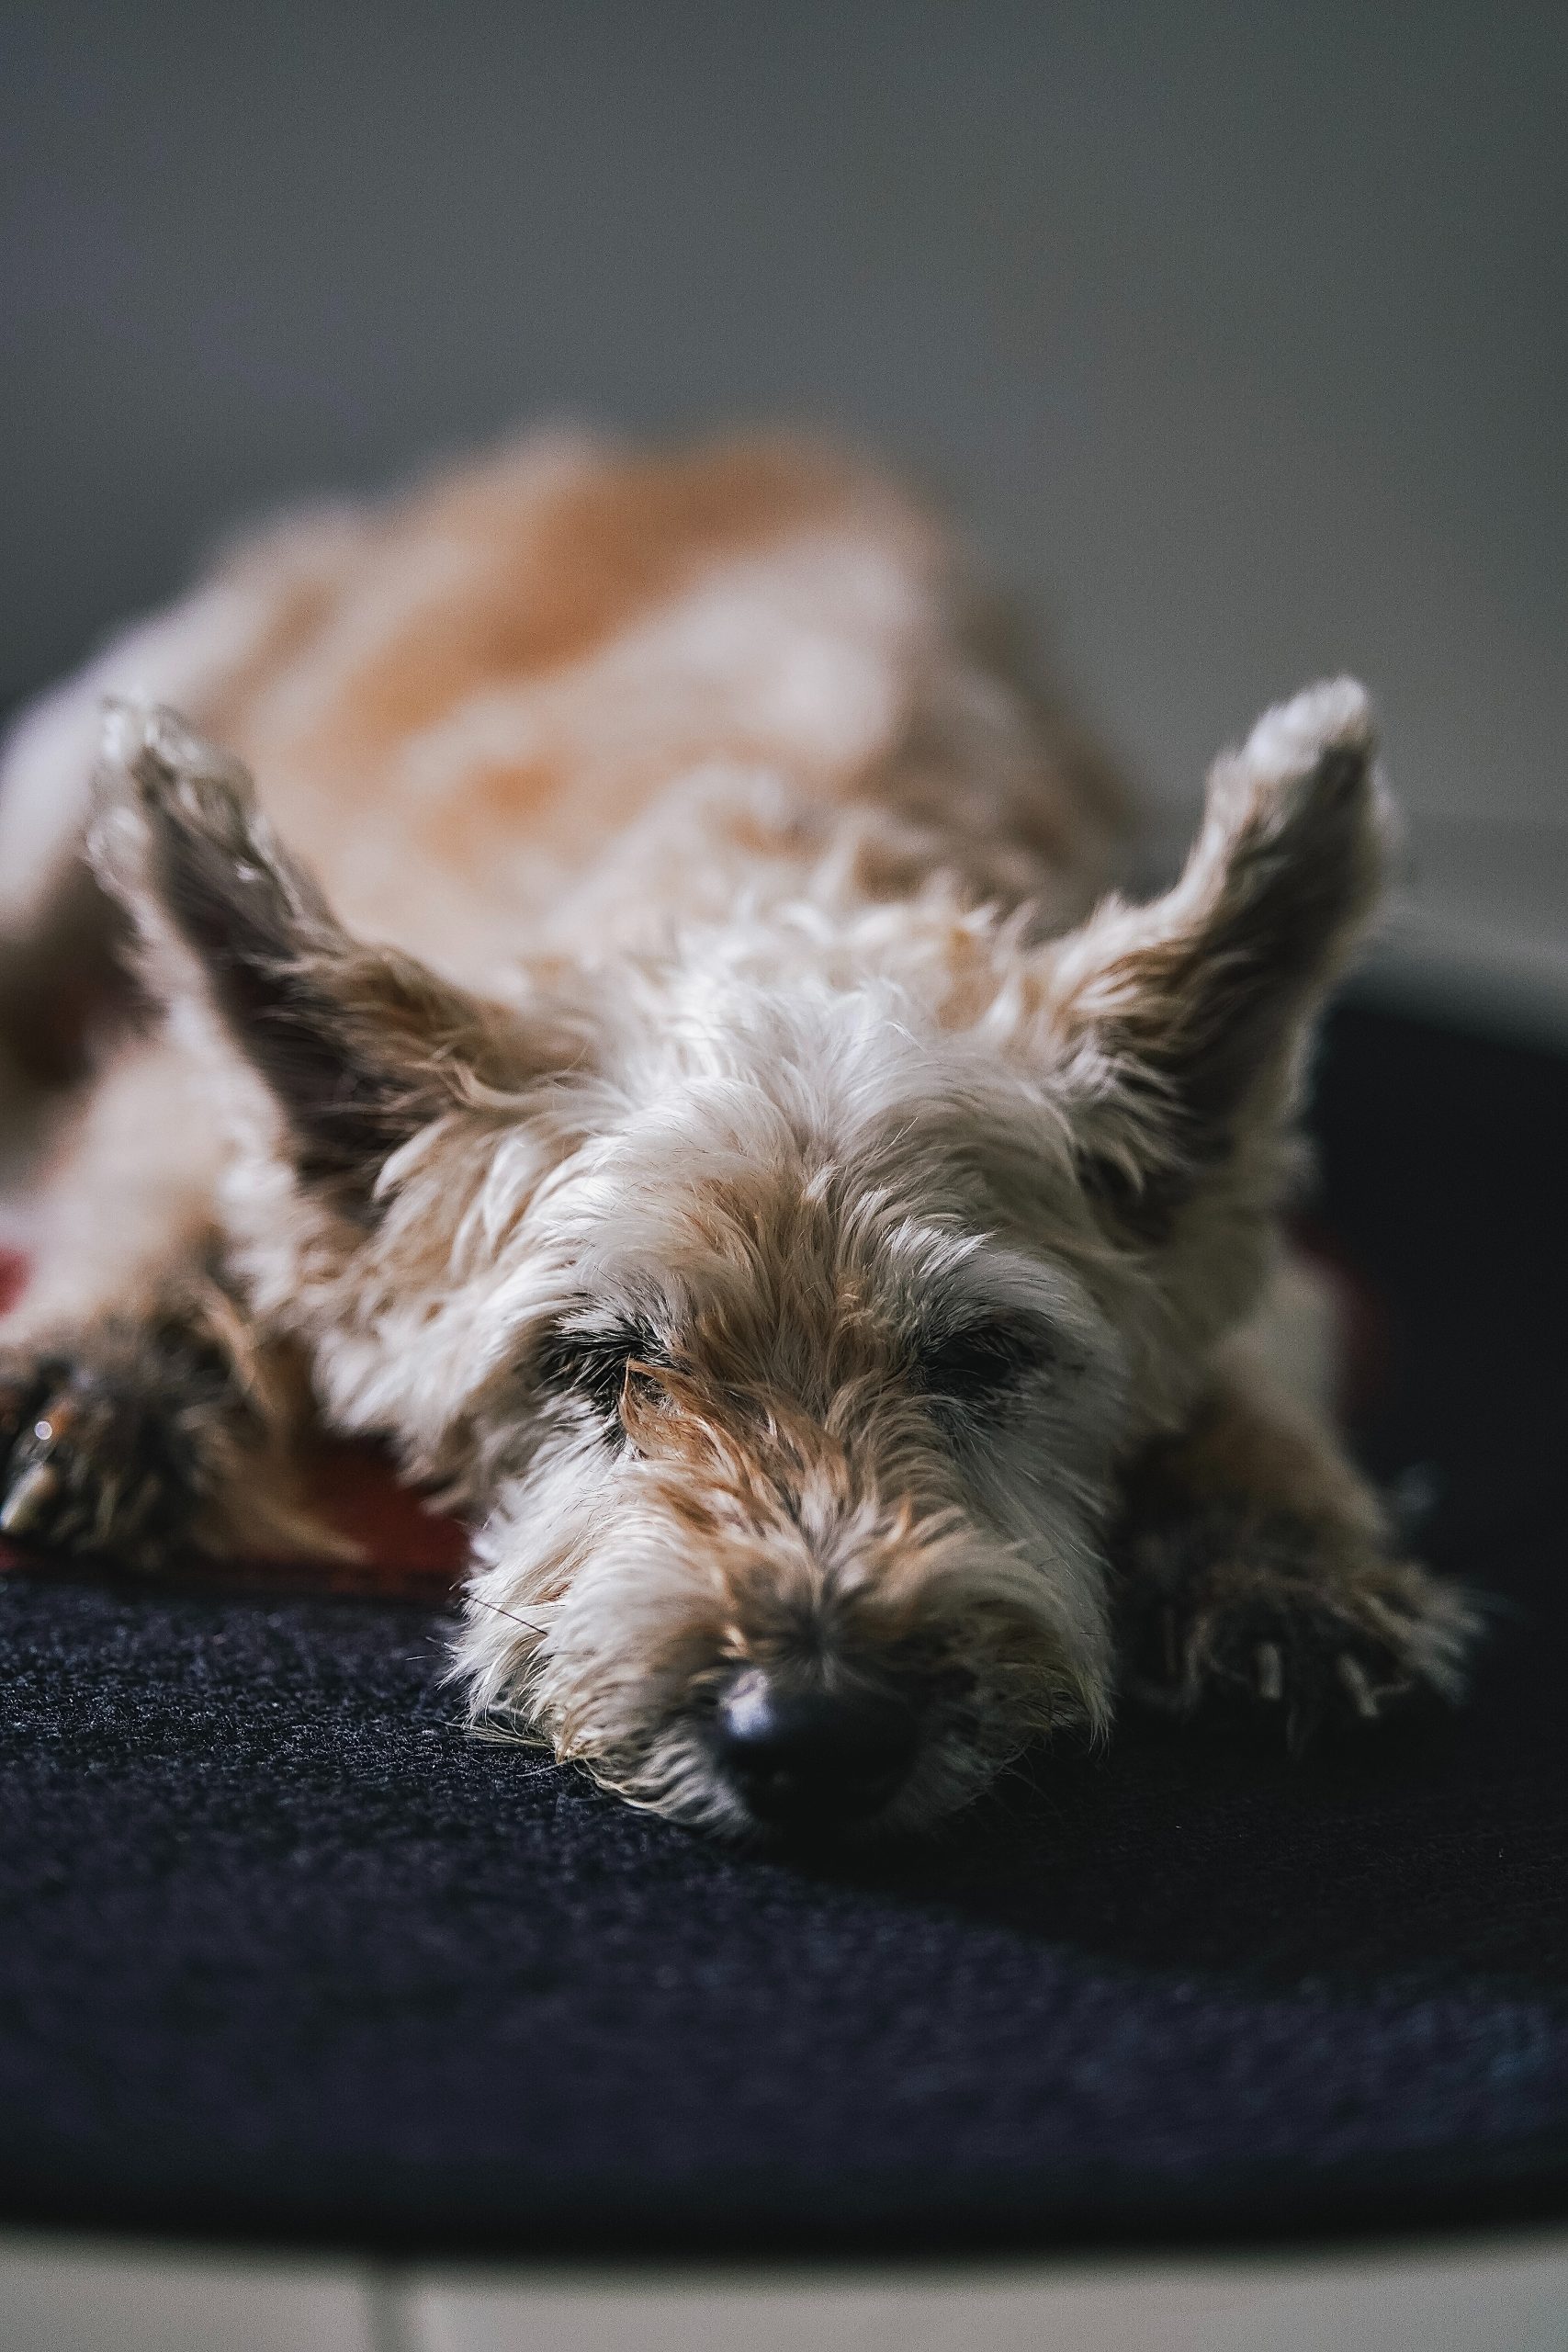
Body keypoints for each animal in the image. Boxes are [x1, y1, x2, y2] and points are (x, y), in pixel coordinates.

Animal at [0, 437, 1476, 1834]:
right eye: (593, 1361)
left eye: (985, 1355)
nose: (816, 1735)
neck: (780, 868)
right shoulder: (190, 1087)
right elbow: (155, 1182)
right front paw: (106, 1362)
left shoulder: (1263, 1249)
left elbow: (1254, 1372)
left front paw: (1278, 1548)